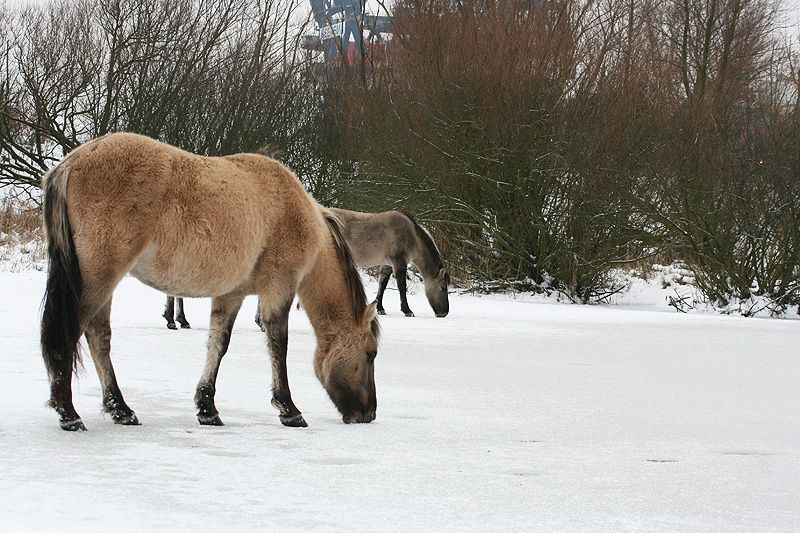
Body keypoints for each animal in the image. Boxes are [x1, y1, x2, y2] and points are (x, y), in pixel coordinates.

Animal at [40, 131, 382, 430]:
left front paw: (207, 408)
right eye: (370, 354)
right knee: (72, 333)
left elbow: (218, 343)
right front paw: (289, 409)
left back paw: (120, 409)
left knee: (99, 337)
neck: (293, 209)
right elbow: (277, 343)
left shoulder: (232, 294)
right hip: (99, 276)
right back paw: (69, 413)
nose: (368, 414)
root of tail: (71, 162)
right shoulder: (279, 286)